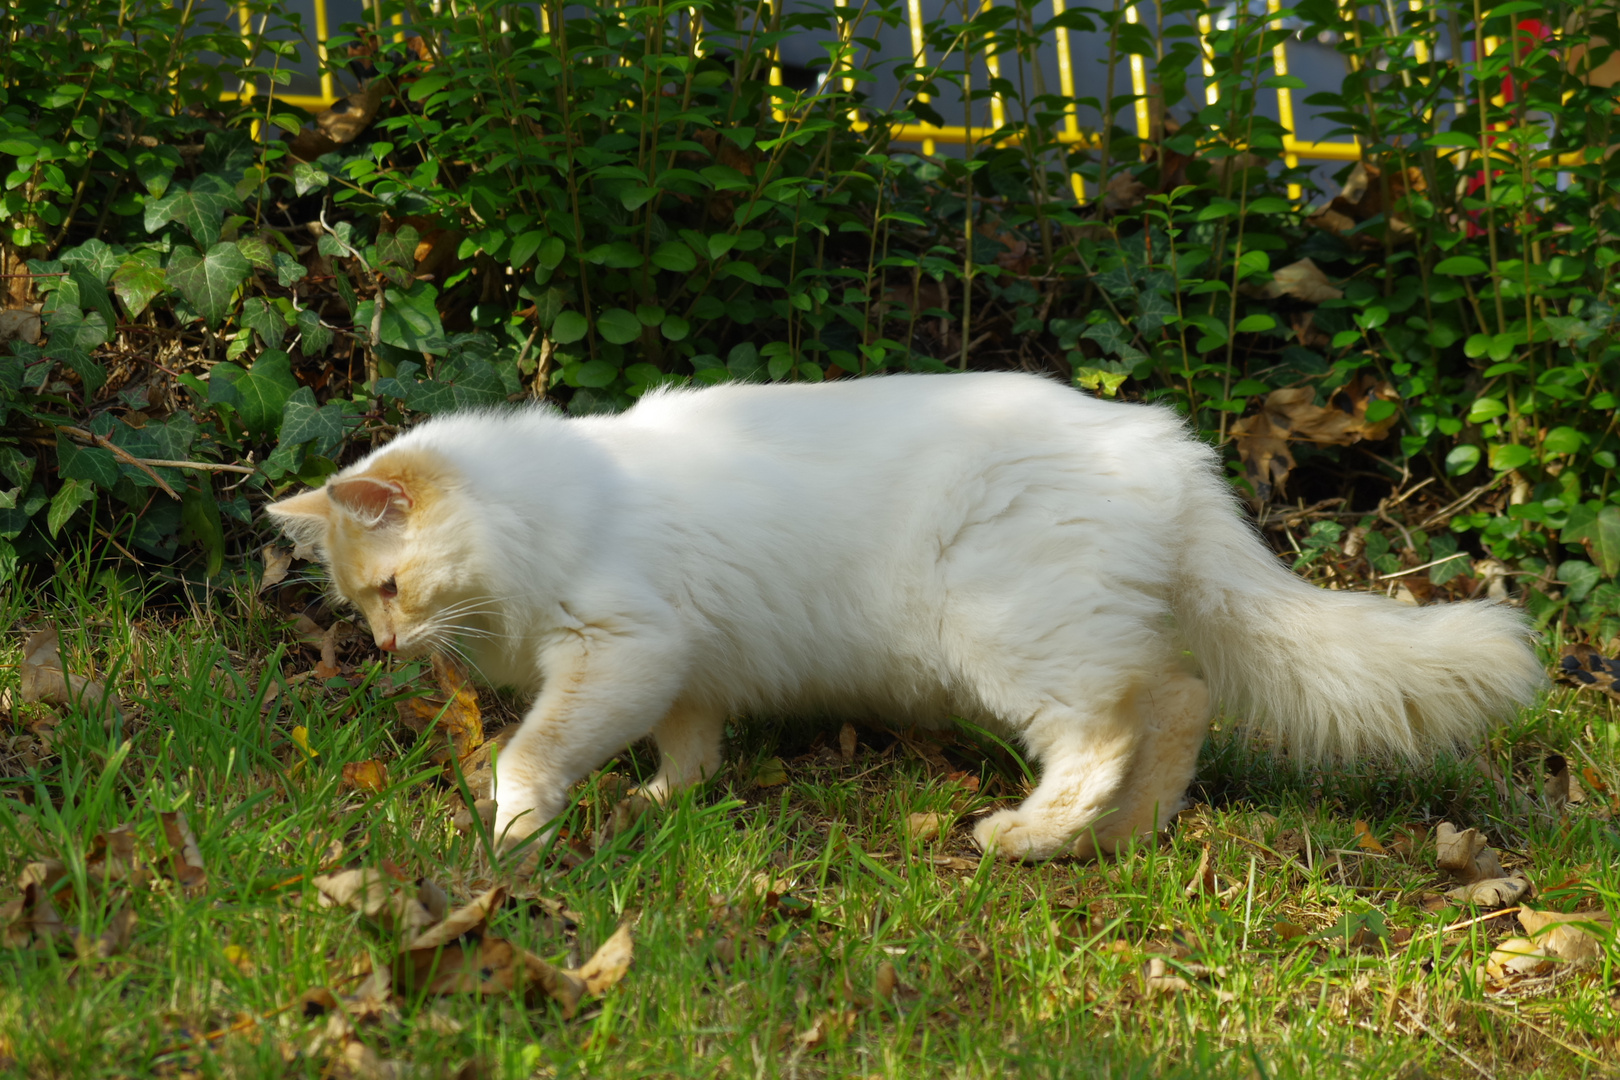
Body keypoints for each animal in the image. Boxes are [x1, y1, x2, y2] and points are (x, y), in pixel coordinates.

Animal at [265, 372, 1542, 861]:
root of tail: (1168, 448)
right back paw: (1121, 838)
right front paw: (667, 802)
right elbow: (690, 749)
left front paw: (517, 834)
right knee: (1179, 702)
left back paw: (1025, 836)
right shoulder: (684, 667)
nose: (382, 647)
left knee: (1109, 729)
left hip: (1014, 638)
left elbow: (529, 757)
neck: (547, 508)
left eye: (389, 590)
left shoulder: (621, 648)